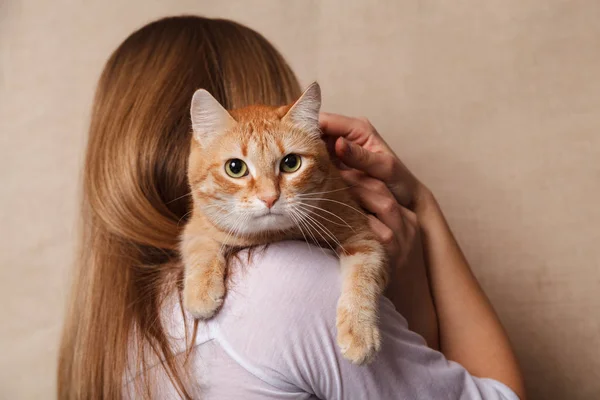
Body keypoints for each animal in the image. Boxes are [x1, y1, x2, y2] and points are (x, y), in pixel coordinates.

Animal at [180, 83, 386, 364]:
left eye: (291, 163)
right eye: (235, 167)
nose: (269, 197)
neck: (274, 233)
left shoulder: (362, 236)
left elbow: (362, 278)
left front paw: (359, 332)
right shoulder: (196, 227)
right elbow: (201, 249)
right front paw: (200, 292)